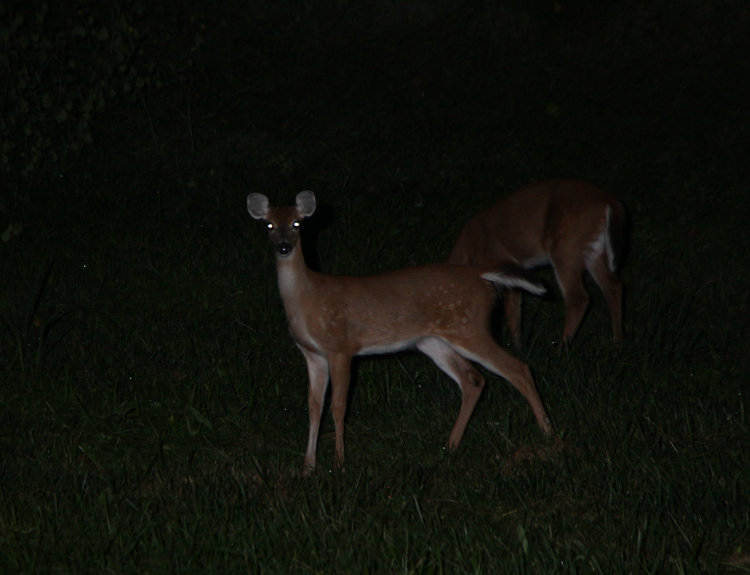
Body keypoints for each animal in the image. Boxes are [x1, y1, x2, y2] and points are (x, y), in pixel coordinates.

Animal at [247, 190, 553, 475]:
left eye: (297, 223)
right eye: (269, 225)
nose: (284, 247)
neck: (307, 298)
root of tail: (480, 275)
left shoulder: (341, 348)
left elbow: (338, 405)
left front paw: (339, 463)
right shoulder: (312, 355)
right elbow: (314, 407)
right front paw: (308, 467)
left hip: (470, 328)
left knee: (518, 368)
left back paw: (547, 432)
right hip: (433, 341)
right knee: (473, 380)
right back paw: (450, 445)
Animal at [448, 179, 627, 349]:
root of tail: (609, 201)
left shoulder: (501, 262)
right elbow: (514, 312)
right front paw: (518, 347)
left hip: (566, 248)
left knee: (578, 297)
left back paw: (562, 350)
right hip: (593, 251)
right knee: (613, 286)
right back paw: (617, 343)